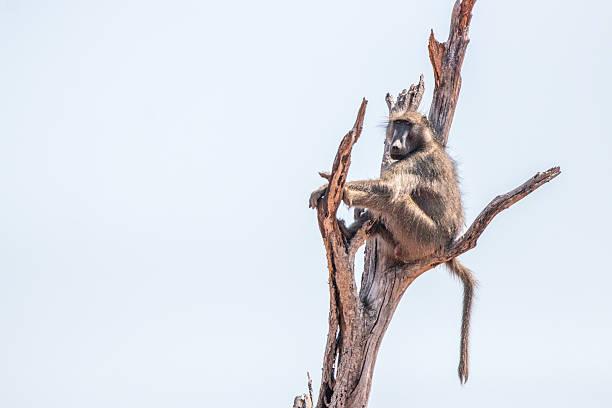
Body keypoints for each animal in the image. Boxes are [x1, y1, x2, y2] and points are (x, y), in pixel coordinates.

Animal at [308, 110, 476, 384]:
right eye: (396, 124)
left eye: (406, 125)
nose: (395, 146)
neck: (425, 144)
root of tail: (447, 245)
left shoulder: (417, 163)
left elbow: (390, 189)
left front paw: (330, 188)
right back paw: (359, 229)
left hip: (423, 238)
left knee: (395, 200)